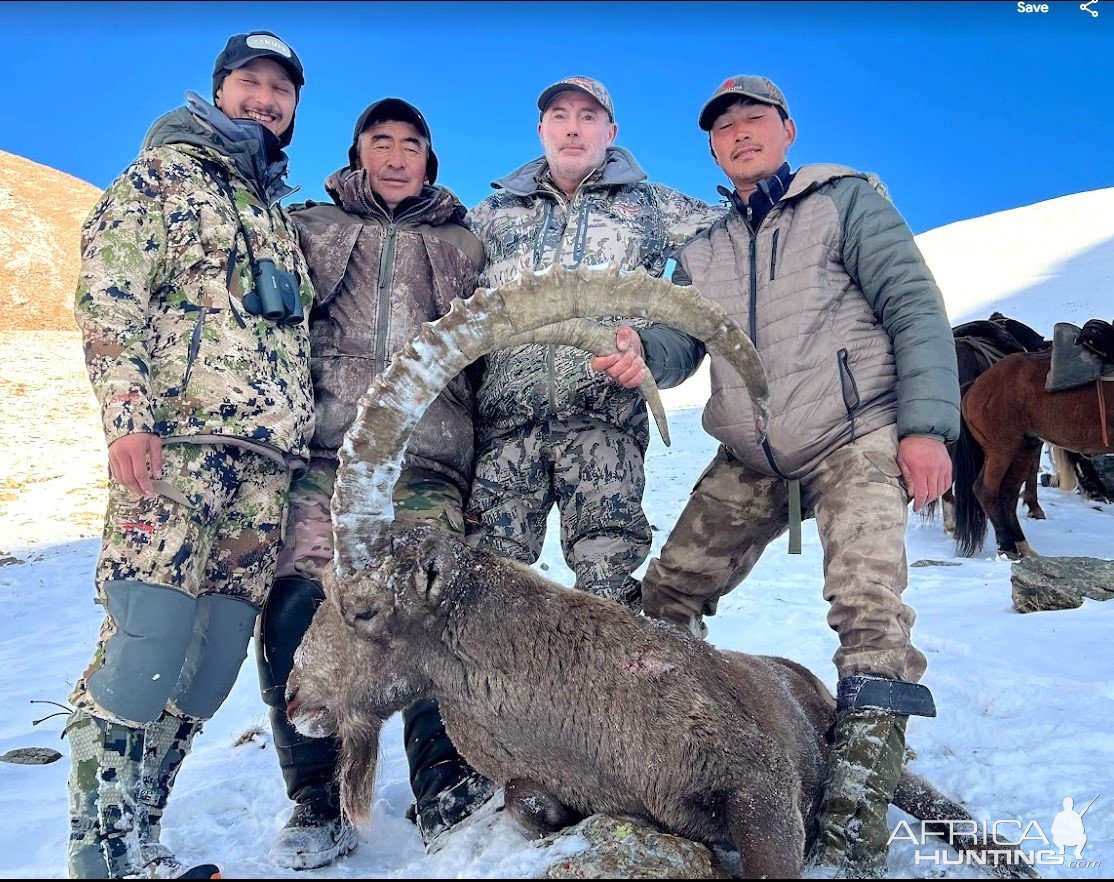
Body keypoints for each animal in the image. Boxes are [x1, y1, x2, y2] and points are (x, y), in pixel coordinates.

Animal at [949, 347, 1114, 554]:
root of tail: (975, 385)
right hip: (1002, 450)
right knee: (986, 490)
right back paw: (1007, 544)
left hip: (1024, 449)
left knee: (1008, 493)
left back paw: (1021, 544)